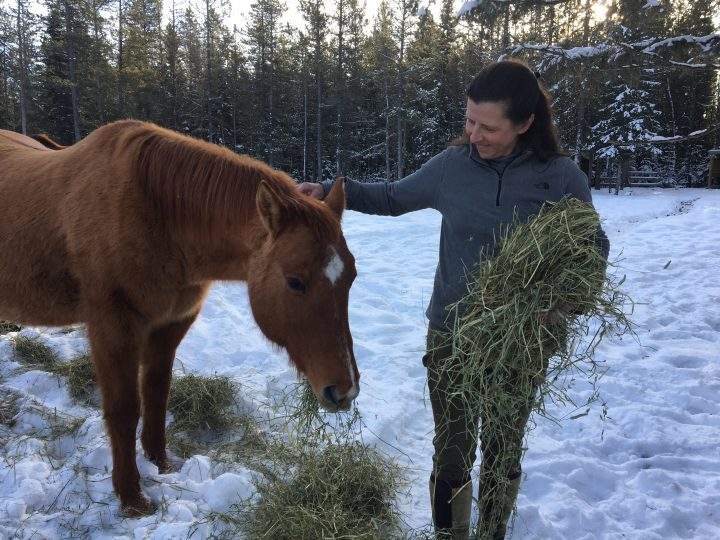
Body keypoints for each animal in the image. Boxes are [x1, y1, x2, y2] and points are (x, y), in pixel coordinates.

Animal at [0, 120, 360, 516]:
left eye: (351, 277)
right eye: (295, 281)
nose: (344, 390)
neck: (156, 215)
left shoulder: (171, 323)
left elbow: (157, 391)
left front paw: (161, 462)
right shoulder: (113, 329)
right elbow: (124, 409)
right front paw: (131, 498)